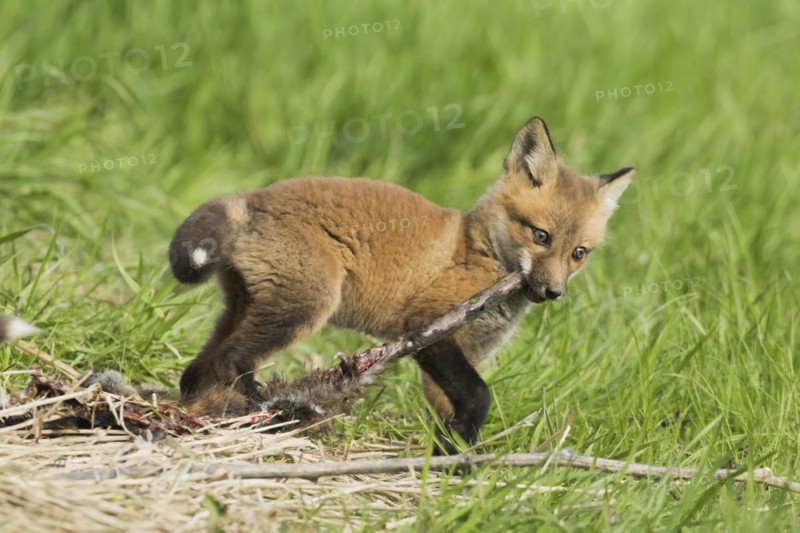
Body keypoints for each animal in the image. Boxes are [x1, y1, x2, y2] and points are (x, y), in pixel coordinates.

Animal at [169, 116, 634, 452]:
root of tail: (254, 197)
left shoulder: (466, 354)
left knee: (198, 368)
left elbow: (453, 411)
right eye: (541, 236)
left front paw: (453, 459)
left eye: (579, 253)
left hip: (244, 307)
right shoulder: (428, 325)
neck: (478, 251)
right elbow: (479, 395)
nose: (553, 292)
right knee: (230, 359)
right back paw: (262, 406)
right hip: (304, 307)